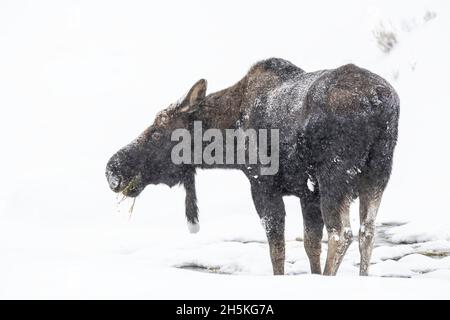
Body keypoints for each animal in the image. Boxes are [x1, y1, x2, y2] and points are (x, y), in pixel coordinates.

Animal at [104, 58, 398, 276]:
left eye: (156, 131)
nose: (112, 169)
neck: (228, 143)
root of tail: (382, 104)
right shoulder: (308, 194)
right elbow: (310, 244)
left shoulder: (262, 185)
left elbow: (277, 248)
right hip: (378, 172)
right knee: (367, 231)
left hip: (335, 175)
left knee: (341, 233)